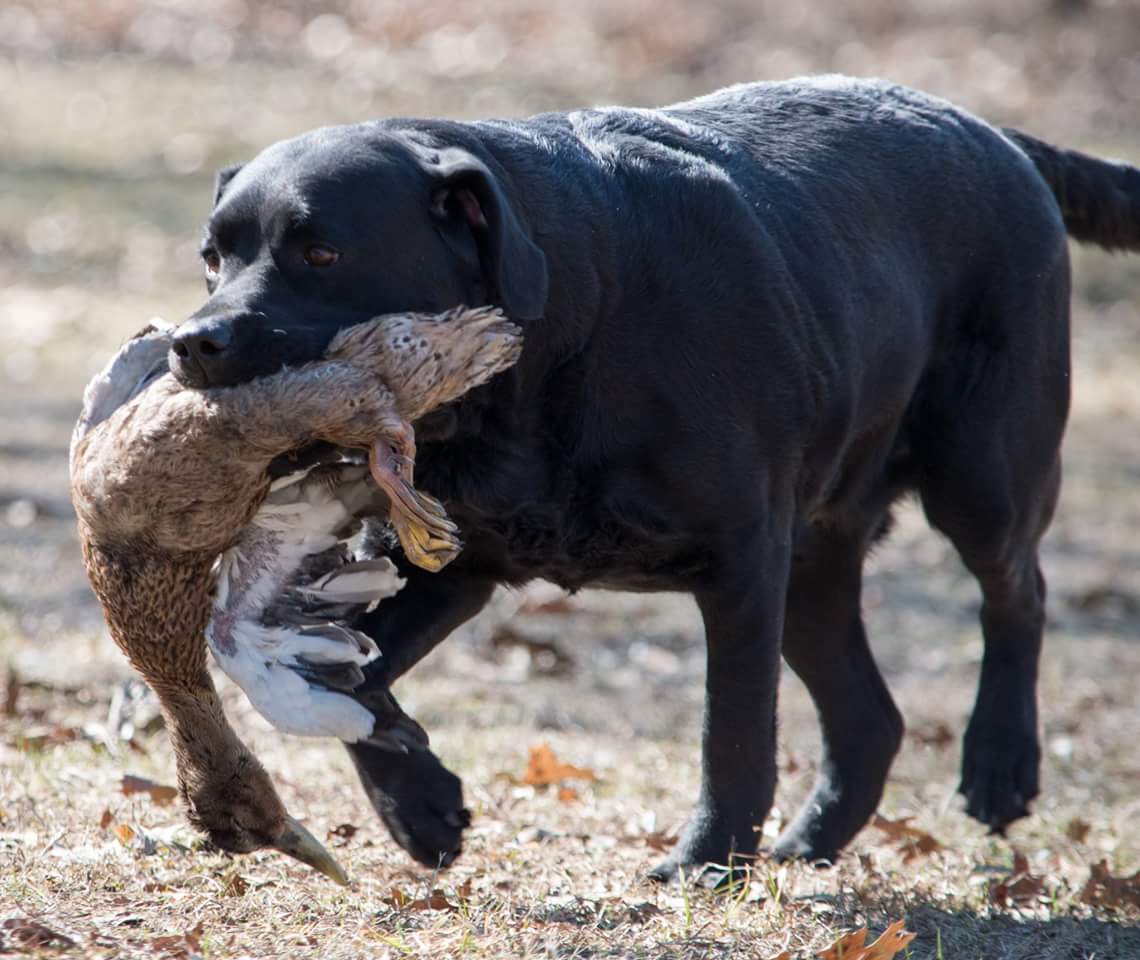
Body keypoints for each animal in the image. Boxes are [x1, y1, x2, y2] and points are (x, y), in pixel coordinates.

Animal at [175, 78, 1140, 880]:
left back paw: (999, 764)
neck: (568, 331)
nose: (193, 342)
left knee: (1018, 594)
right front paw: (423, 809)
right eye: (213, 257)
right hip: (815, 561)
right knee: (872, 719)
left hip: (982, 477)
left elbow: (734, 732)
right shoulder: (448, 565)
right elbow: (342, 683)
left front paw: (706, 863)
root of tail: (995, 133)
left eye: (321, 254)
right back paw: (809, 845)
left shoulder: (740, 564)